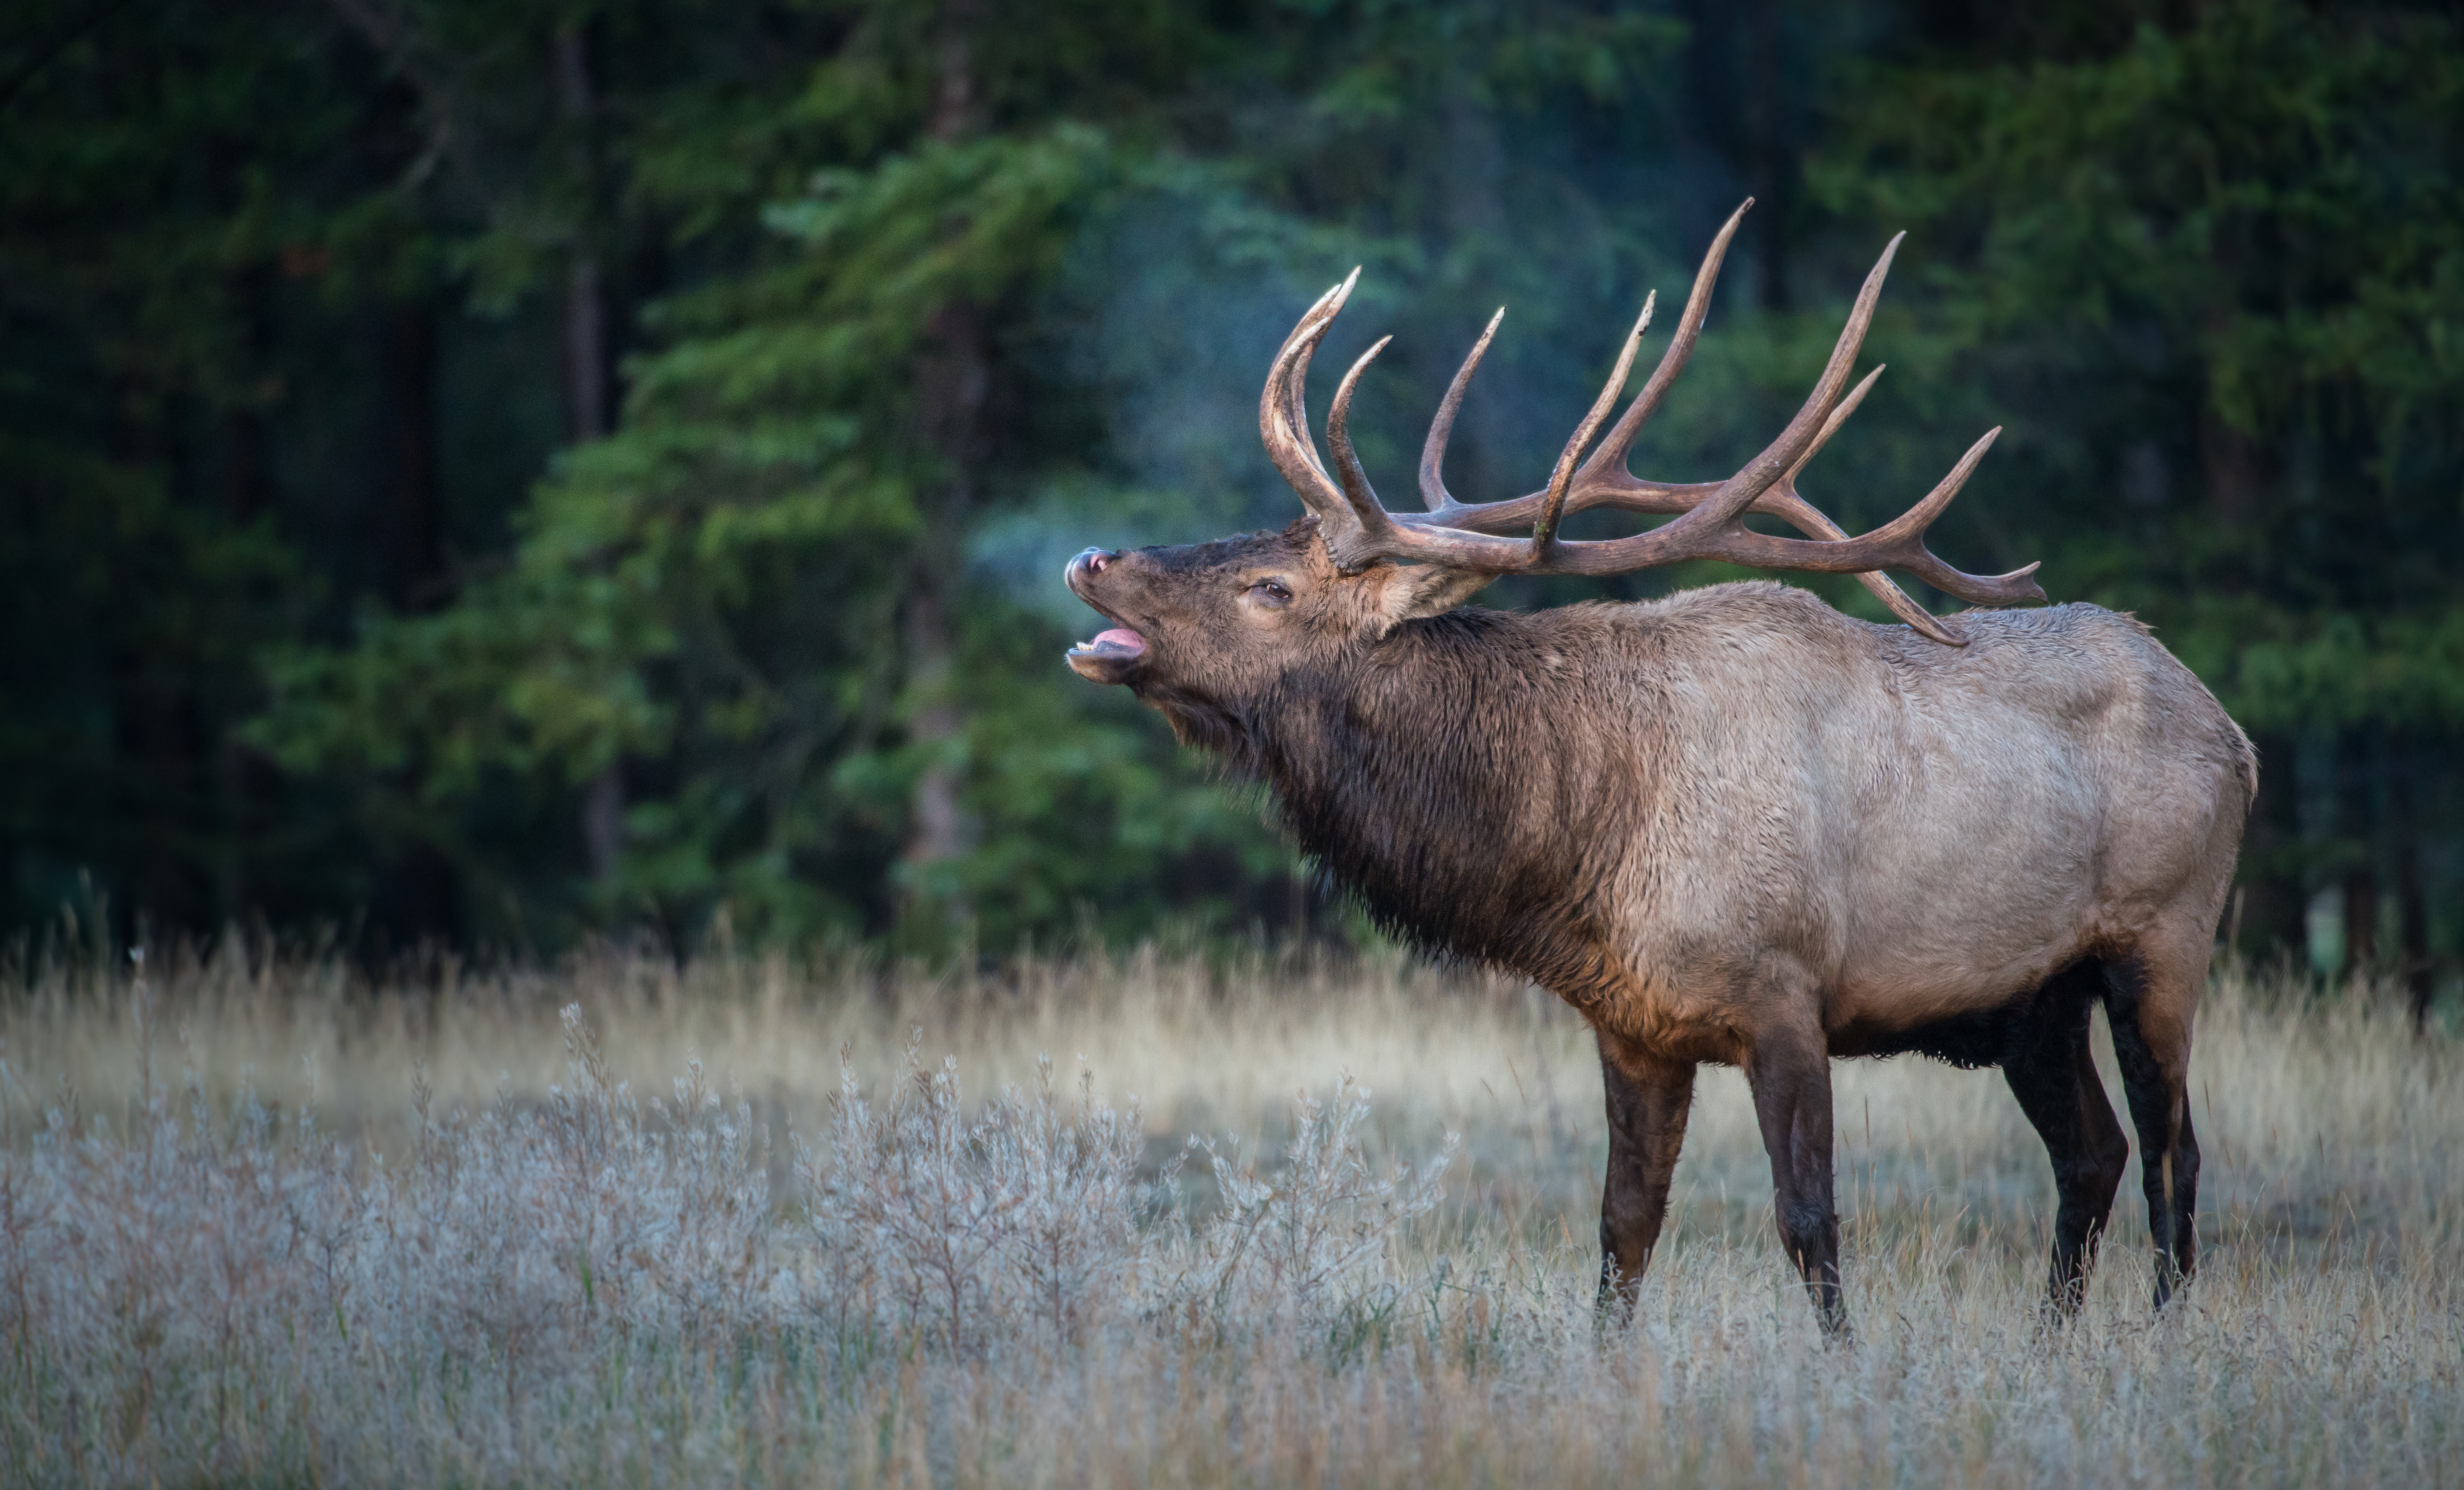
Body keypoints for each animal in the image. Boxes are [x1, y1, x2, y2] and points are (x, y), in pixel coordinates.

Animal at [1061, 202, 2254, 1335]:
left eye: (1268, 586)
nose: (1089, 555)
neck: (1583, 842)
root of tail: (2233, 734)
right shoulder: (1632, 1026)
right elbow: (1622, 1225)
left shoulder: (1785, 987)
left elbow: (1808, 1219)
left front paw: (1844, 1366)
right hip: (2032, 998)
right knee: (2092, 1152)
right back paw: (2052, 1340)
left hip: (2162, 938)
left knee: (2172, 1155)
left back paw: (2159, 1334)